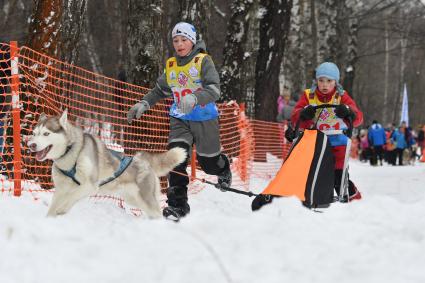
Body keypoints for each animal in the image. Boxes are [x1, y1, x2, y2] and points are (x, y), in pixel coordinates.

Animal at [27, 110, 185, 219]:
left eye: (46, 134)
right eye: (34, 133)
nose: (31, 145)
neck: (69, 152)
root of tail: (144, 161)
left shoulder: (89, 185)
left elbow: (71, 197)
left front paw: (62, 210)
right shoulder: (61, 188)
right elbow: (54, 207)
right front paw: (50, 218)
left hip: (146, 200)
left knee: (157, 213)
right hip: (133, 200)